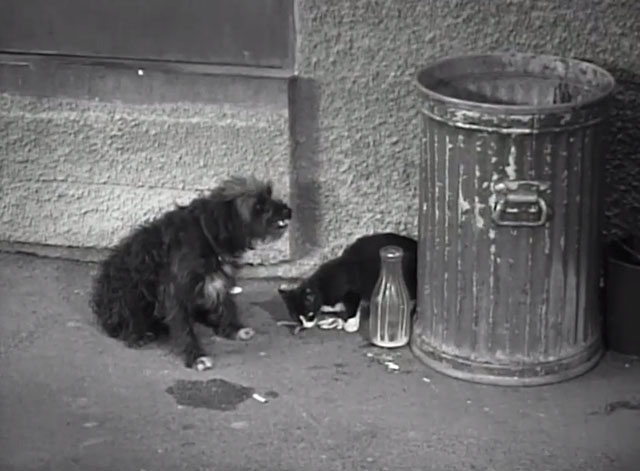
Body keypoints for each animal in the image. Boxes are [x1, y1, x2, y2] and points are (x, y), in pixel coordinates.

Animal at [89, 175, 292, 370]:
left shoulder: (219, 279)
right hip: (127, 294)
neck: (208, 233)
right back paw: (137, 334)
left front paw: (232, 328)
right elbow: (184, 327)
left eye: (269, 194)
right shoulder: (175, 291)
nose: (287, 210)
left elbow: (225, 304)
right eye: (258, 206)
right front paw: (196, 356)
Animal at [278, 232, 418, 332]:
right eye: (297, 317)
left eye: (309, 315)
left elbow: (352, 305)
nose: (305, 326)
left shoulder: (352, 289)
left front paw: (349, 324)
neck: (321, 286)